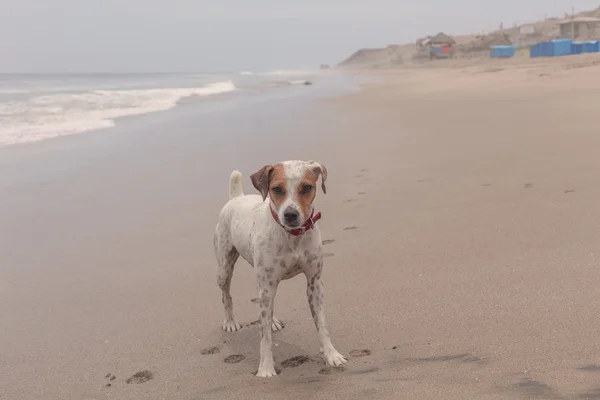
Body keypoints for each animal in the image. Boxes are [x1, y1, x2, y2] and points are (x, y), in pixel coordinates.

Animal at [212, 160, 346, 378]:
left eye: (306, 187)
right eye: (277, 189)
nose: (290, 214)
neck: (292, 236)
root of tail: (237, 197)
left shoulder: (314, 283)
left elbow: (322, 325)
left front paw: (331, 354)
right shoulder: (267, 286)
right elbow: (264, 335)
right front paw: (266, 368)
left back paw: (273, 320)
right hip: (225, 267)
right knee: (226, 295)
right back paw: (231, 322)